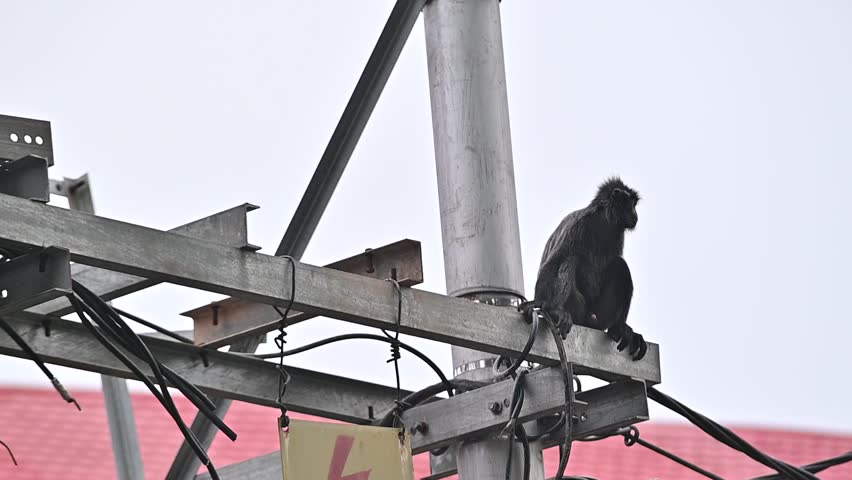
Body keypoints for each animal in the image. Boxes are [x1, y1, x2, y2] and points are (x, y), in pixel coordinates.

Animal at [521, 177, 647, 361]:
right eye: (631, 204)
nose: (635, 215)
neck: (603, 222)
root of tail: (589, 319)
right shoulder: (580, 223)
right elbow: (556, 260)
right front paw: (542, 302)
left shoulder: (617, 234)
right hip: (578, 307)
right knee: (571, 258)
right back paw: (555, 310)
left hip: (601, 314)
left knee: (619, 264)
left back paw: (619, 327)